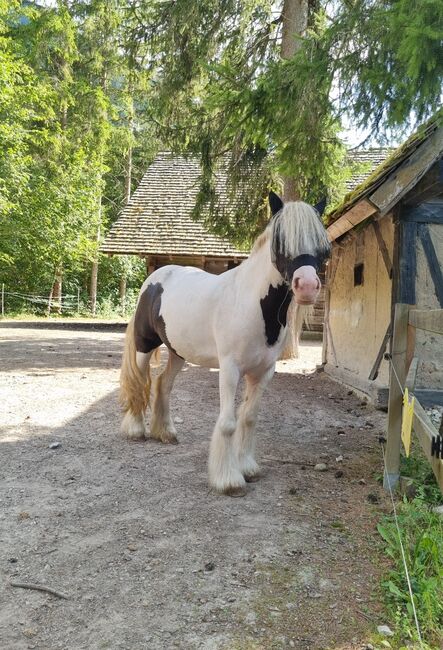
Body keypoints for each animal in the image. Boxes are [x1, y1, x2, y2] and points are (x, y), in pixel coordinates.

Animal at [119, 190, 332, 494]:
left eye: (323, 247)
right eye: (280, 241)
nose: (307, 287)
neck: (252, 304)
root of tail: (154, 279)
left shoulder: (263, 372)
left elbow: (249, 418)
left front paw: (248, 468)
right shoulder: (230, 369)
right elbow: (229, 422)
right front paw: (229, 480)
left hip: (178, 352)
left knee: (163, 384)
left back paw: (166, 432)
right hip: (144, 346)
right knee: (139, 382)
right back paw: (136, 430)